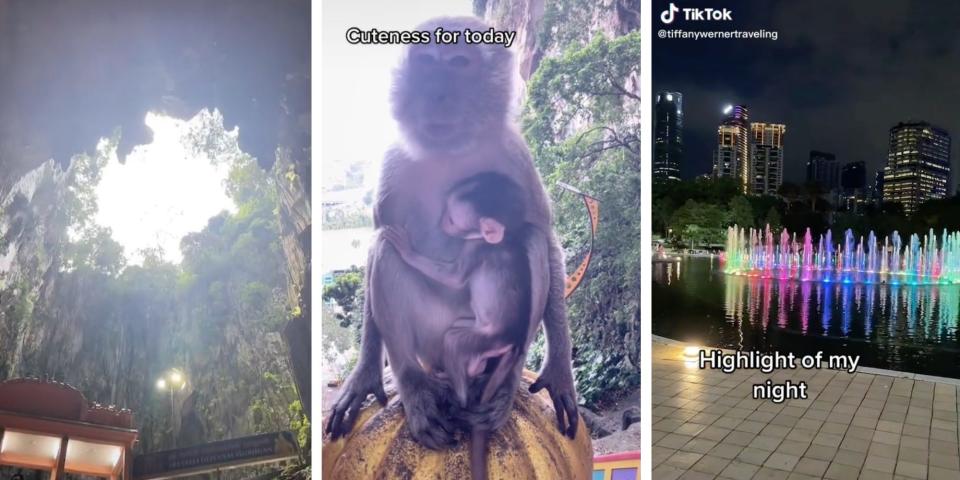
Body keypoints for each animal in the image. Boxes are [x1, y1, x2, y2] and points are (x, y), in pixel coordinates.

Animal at [382, 171, 532, 478]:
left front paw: (407, 251)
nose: (441, 222)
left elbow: (453, 277)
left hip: (489, 338)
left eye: (452, 218)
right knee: (458, 329)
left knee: (454, 342)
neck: (501, 239)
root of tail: (512, 341)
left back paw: (460, 396)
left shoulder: (474, 248)